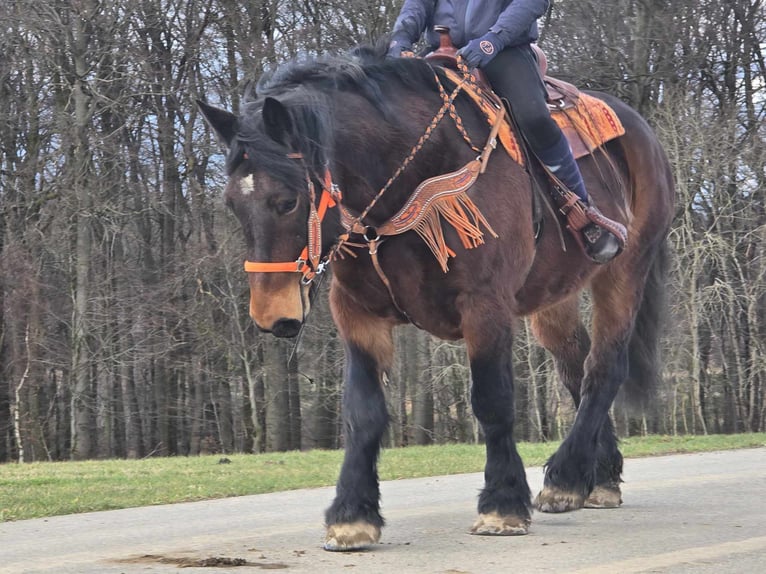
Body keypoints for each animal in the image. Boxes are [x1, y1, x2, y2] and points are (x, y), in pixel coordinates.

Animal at [200, 42, 680, 552]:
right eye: (231, 203)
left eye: (287, 200)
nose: (272, 315)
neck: (410, 178)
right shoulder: (357, 315)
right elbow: (363, 413)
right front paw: (353, 514)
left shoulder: (485, 307)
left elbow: (492, 400)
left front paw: (502, 503)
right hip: (555, 298)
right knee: (578, 368)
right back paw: (597, 476)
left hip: (624, 272)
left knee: (605, 368)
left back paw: (567, 476)